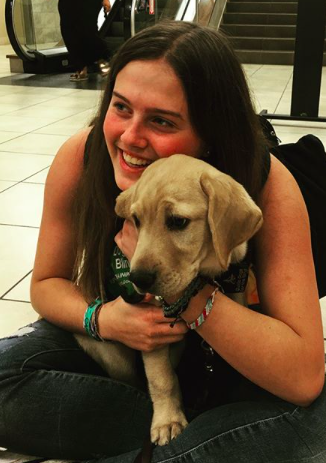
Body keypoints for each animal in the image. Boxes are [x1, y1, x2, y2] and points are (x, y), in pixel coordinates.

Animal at [76, 155, 262, 446]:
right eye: (136, 220)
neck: (205, 276)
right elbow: (162, 379)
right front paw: (168, 421)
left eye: (177, 221)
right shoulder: (149, 332)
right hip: (110, 352)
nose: (138, 278)